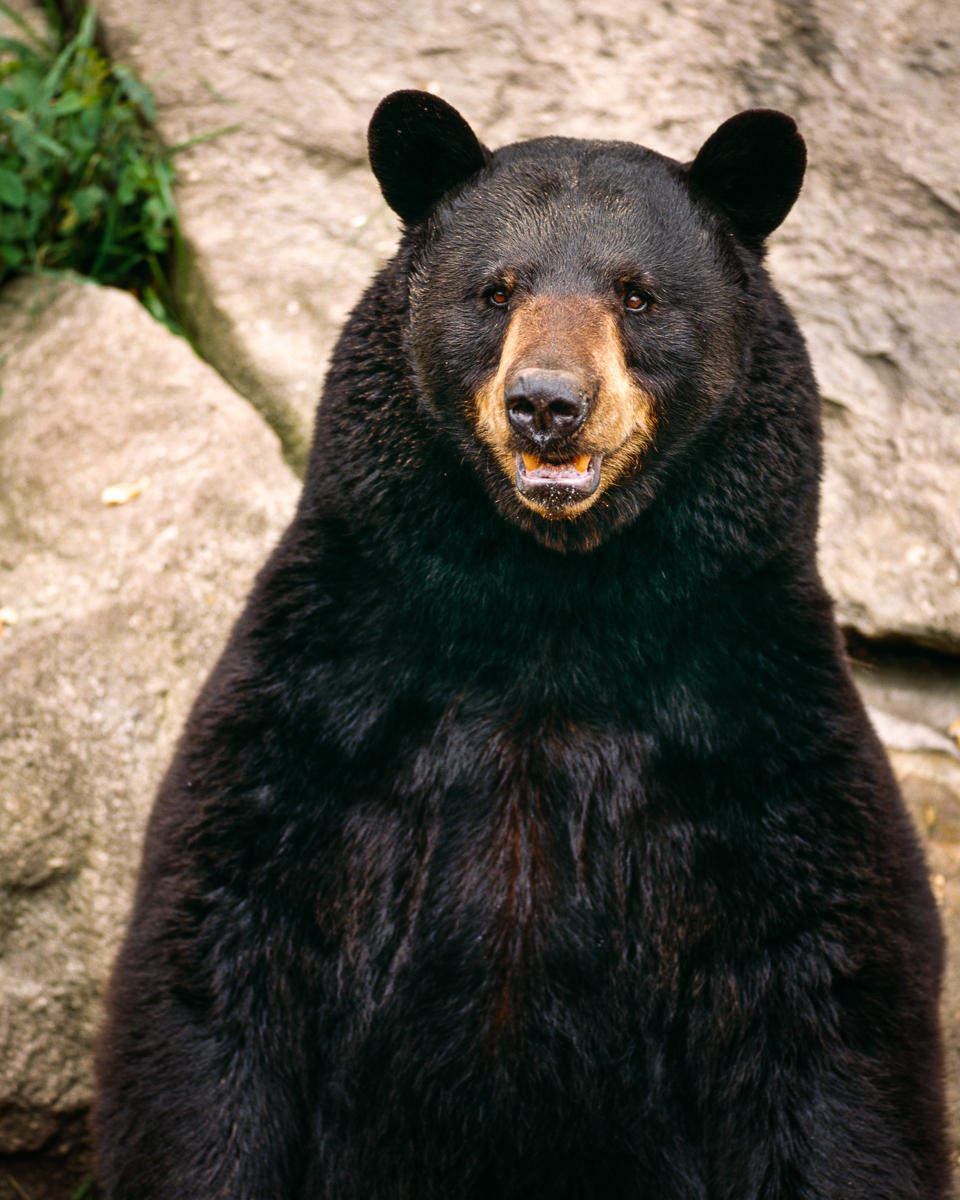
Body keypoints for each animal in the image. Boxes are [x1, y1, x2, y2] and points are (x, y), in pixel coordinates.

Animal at [93, 88, 950, 1195]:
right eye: (496, 291)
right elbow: (221, 948)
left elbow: (826, 994)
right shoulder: (328, 690)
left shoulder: (751, 714)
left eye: (638, 296)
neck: (553, 605)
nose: (547, 404)